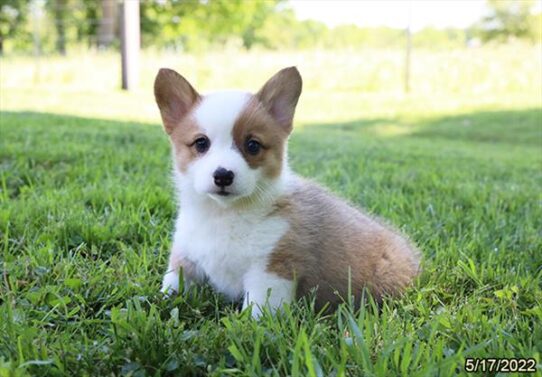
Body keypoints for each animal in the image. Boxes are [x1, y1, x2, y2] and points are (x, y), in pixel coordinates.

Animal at [155, 67, 422, 314]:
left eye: (253, 145)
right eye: (201, 143)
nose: (223, 175)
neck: (223, 214)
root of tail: (413, 257)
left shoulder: (271, 271)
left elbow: (257, 314)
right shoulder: (185, 260)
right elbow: (170, 287)